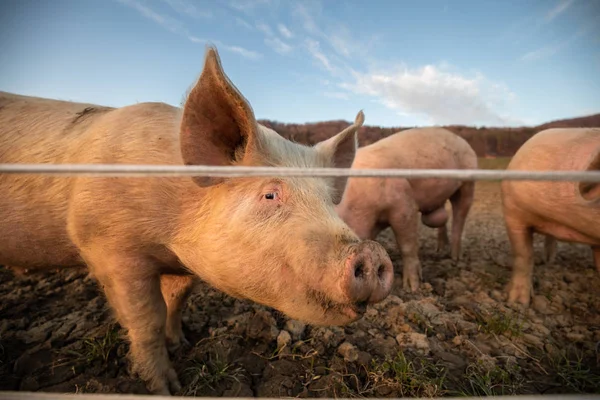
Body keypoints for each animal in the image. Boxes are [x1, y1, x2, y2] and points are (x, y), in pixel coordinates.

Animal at [0, 47, 394, 394]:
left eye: (328, 201)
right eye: (270, 195)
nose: (372, 252)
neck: (171, 238)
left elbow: (177, 299)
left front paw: (181, 341)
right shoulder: (108, 246)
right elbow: (146, 319)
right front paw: (166, 387)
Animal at [336, 127, 476, 290]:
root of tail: (463, 141)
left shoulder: (404, 203)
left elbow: (407, 244)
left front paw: (412, 287)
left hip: (467, 184)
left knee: (460, 217)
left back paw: (455, 257)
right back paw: (440, 249)